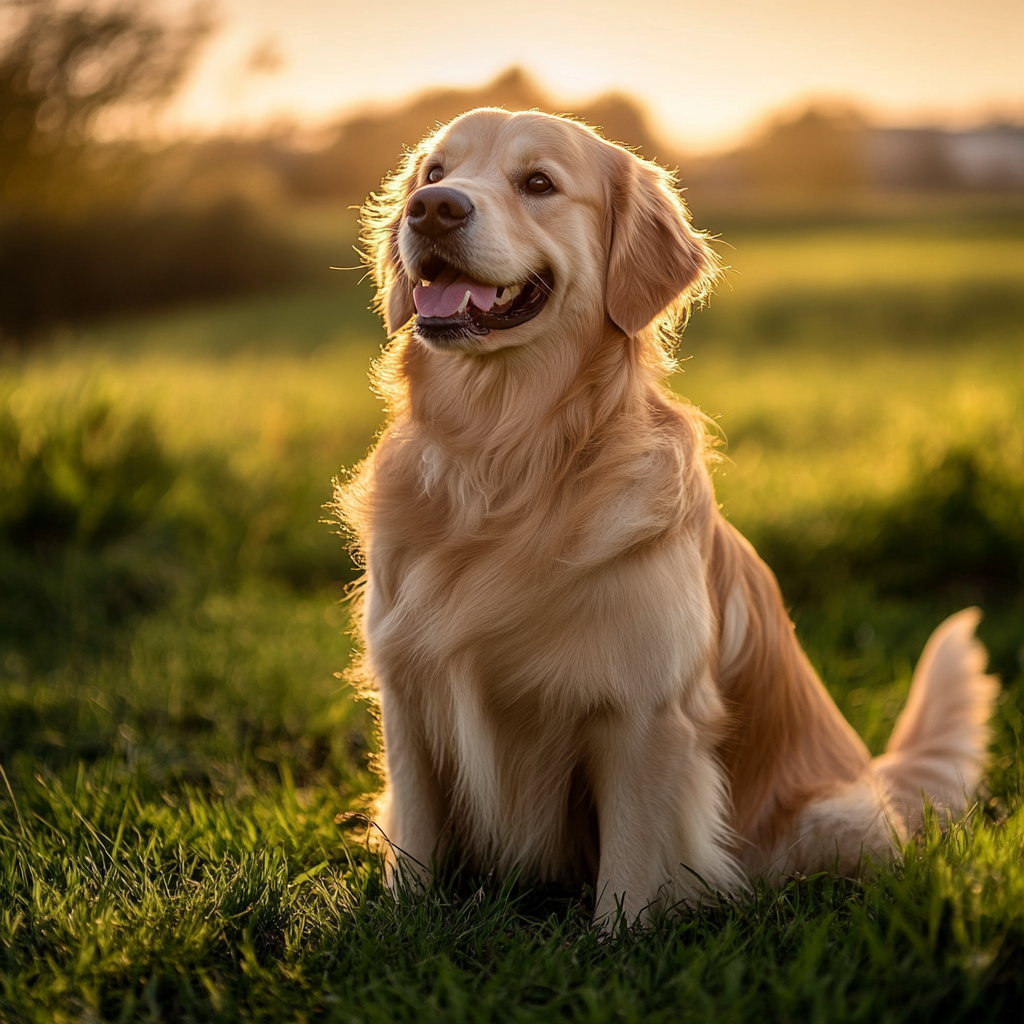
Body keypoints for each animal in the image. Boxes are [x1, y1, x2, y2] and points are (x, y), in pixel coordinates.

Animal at [337, 108, 999, 925]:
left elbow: (626, 875)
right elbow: (415, 846)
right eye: (434, 172)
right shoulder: (408, 694)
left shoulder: (645, 719)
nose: (433, 209)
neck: (503, 465)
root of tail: (878, 774)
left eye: (538, 183)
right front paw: (400, 923)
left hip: (829, 818)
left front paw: (610, 945)